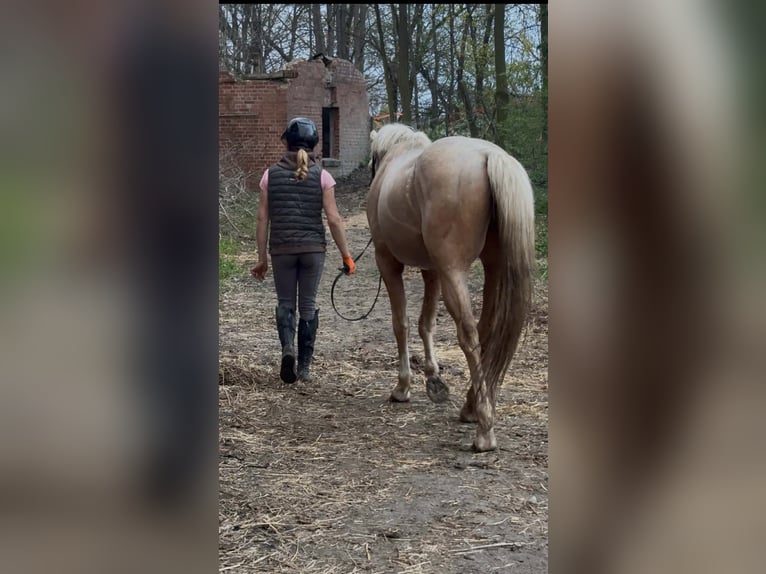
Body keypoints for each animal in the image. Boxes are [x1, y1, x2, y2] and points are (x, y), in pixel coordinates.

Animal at [367, 124, 536, 452]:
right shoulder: (431, 270)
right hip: (492, 269)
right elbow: (426, 323)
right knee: (486, 329)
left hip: (453, 271)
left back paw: (484, 430)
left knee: (469, 334)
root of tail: (488, 155)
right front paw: (433, 378)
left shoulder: (389, 263)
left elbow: (402, 323)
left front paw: (403, 386)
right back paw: (472, 407)